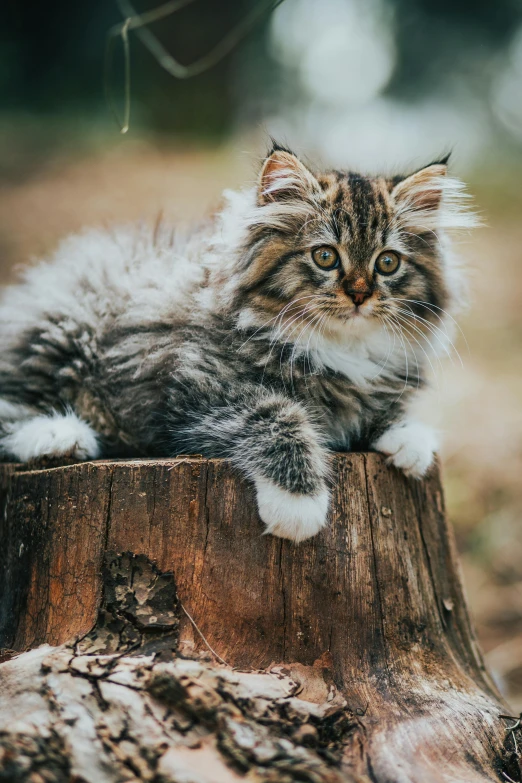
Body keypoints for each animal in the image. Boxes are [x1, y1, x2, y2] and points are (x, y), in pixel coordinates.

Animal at [0, 144, 474, 544]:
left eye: (387, 263)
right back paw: (58, 436)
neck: (339, 348)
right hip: (60, 331)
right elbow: (278, 416)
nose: (359, 295)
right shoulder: (198, 386)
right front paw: (298, 504)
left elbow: (381, 409)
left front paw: (408, 439)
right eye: (325, 256)